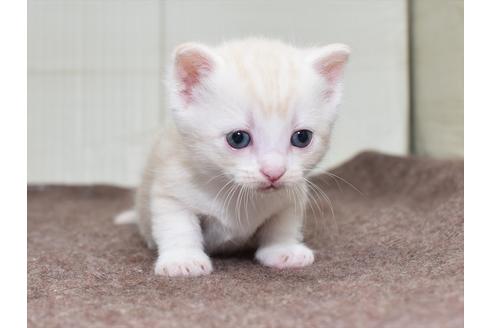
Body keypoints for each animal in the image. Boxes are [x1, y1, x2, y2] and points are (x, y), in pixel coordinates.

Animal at [117, 37, 350, 276]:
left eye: (302, 137)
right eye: (238, 138)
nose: (274, 172)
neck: (239, 193)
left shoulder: (292, 193)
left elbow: (283, 222)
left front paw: (283, 249)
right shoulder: (170, 188)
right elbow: (178, 225)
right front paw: (183, 260)